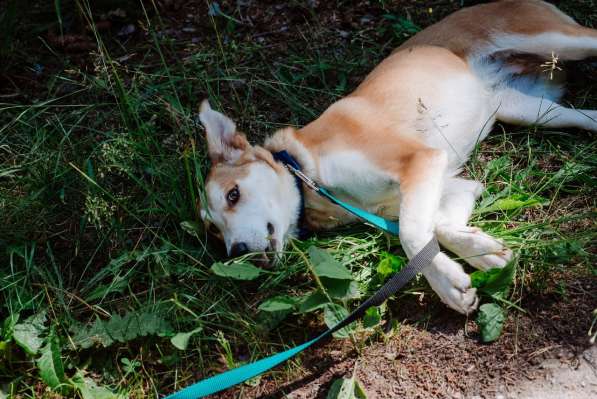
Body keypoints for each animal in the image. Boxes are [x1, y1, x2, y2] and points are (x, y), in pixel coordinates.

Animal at [197, 1, 596, 316]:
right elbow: (435, 227)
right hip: (529, 110)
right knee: (588, 116)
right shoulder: (450, 186)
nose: (237, 252)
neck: (307, 174)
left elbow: (411, 233)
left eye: (233, 195)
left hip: (562, 40)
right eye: (215, 232)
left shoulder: (419, 160)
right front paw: (482, 251)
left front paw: (447, 285)